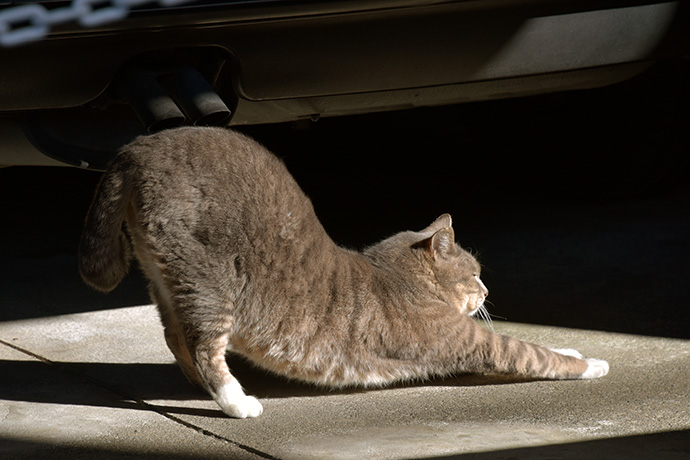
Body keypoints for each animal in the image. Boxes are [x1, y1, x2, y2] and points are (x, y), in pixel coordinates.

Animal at [79, 127, 608, 418]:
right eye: (475, 273)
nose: (487, 289)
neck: (397, 273)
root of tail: (138, 148)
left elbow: (544, 348)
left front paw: (574, 347)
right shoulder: (465, 338)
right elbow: (529, 353)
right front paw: (592, 364)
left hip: (165, 278)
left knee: (175, 337)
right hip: (208, 283)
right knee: (205, 346)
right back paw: (236, 400)